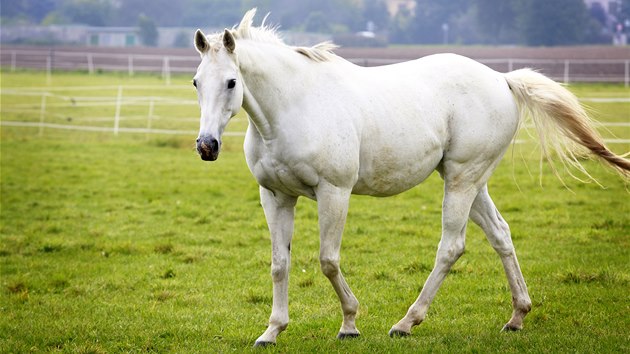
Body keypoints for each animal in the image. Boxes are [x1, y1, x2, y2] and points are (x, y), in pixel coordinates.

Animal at [193, 9, 630, 348]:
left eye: (231, 82)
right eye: (197, 81)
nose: (206, 145)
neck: (292, 108)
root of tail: (502, 79)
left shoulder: (334, 192)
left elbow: (328, 261)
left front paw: (349, 324)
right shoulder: (276, 195)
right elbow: (280, 264)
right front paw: (272, 331)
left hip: (461, 181)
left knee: (451, 247)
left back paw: (407, 322)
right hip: (473, 183)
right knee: (501, 235)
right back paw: (517, 316)